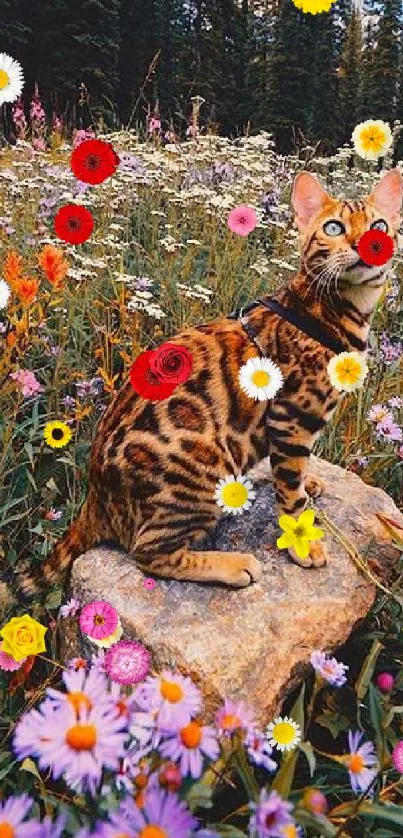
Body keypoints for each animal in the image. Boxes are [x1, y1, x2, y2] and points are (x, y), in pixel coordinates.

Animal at [17, 166, 402, 596]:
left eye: (379, 227)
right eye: (334, 227)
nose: (368, 245)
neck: (335, 308)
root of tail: (93, 497)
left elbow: (294, 474)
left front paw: (310, 483)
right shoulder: (290, 418)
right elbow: (290, 491)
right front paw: (303, 542)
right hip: (200, 471)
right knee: (147, 552)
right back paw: (233, 565)